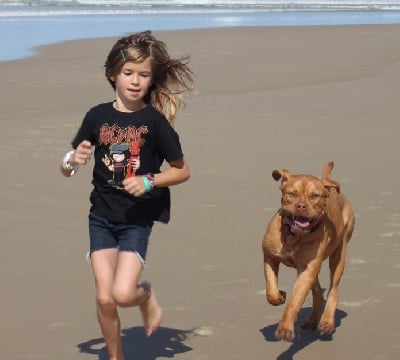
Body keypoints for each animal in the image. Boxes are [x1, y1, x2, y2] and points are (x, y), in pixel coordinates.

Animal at [264, 162, 354, 342]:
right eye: (291, 193)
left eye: (315, 196)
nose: (301, 205)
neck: (293, 236)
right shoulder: (269, 256)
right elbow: (271, 290)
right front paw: (280, 295)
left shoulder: (307, 270)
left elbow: (295, 301)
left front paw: (285, 327)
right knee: (318, 292)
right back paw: (312, 320)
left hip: (339, 254)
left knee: (333, 289)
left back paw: (326, 321)